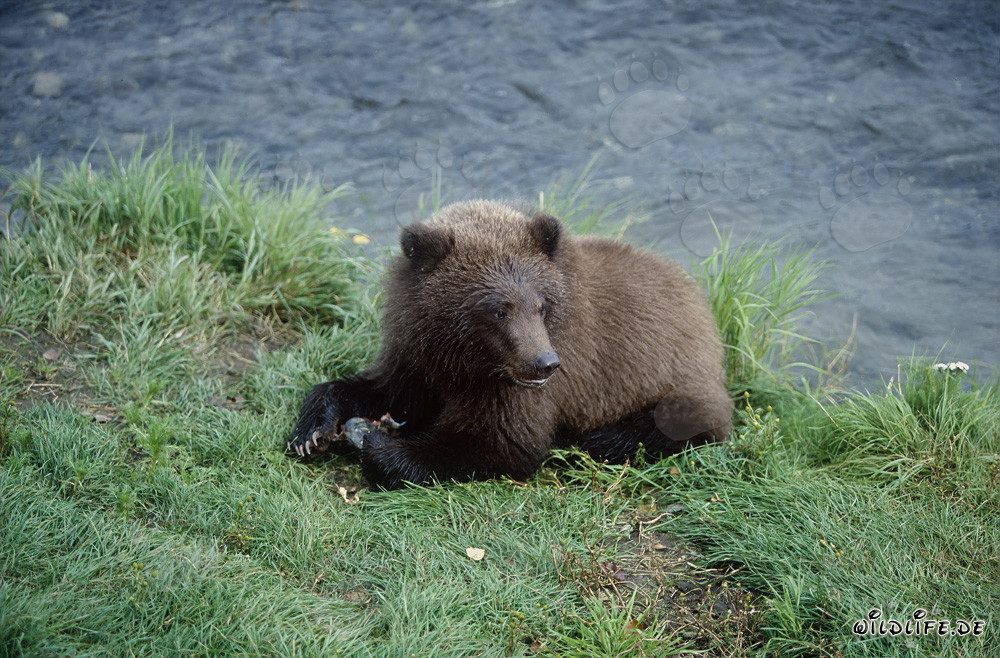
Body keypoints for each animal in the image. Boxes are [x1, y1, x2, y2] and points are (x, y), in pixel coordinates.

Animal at [287, 200, 732, 489]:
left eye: (541, 304)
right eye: (499, 309)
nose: (544, 363)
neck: (465, 358)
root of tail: (704, 309)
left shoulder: (525, 384)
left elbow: (502, 441)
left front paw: (381, 444)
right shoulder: (417, 353)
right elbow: (382, 388)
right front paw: (312, 431)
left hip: (677, 385)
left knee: (657, 427)